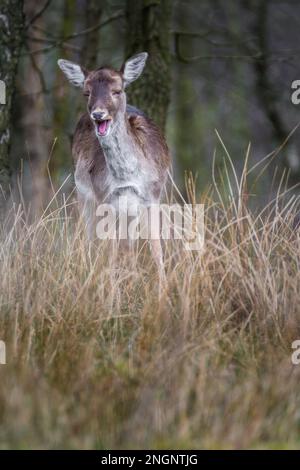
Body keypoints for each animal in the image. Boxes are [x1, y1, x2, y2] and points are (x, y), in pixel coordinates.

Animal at [58, 52, 171, 278]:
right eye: (86, 93)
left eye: (117, 91)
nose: (98, 114)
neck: (126, 177)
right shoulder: (104, 197)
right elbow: (109, 252)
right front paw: (110, 287)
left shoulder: (153, 195)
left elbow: (157, 251)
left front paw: (163, 286)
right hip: (84, 193)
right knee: (88, 237)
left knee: (129, 246)